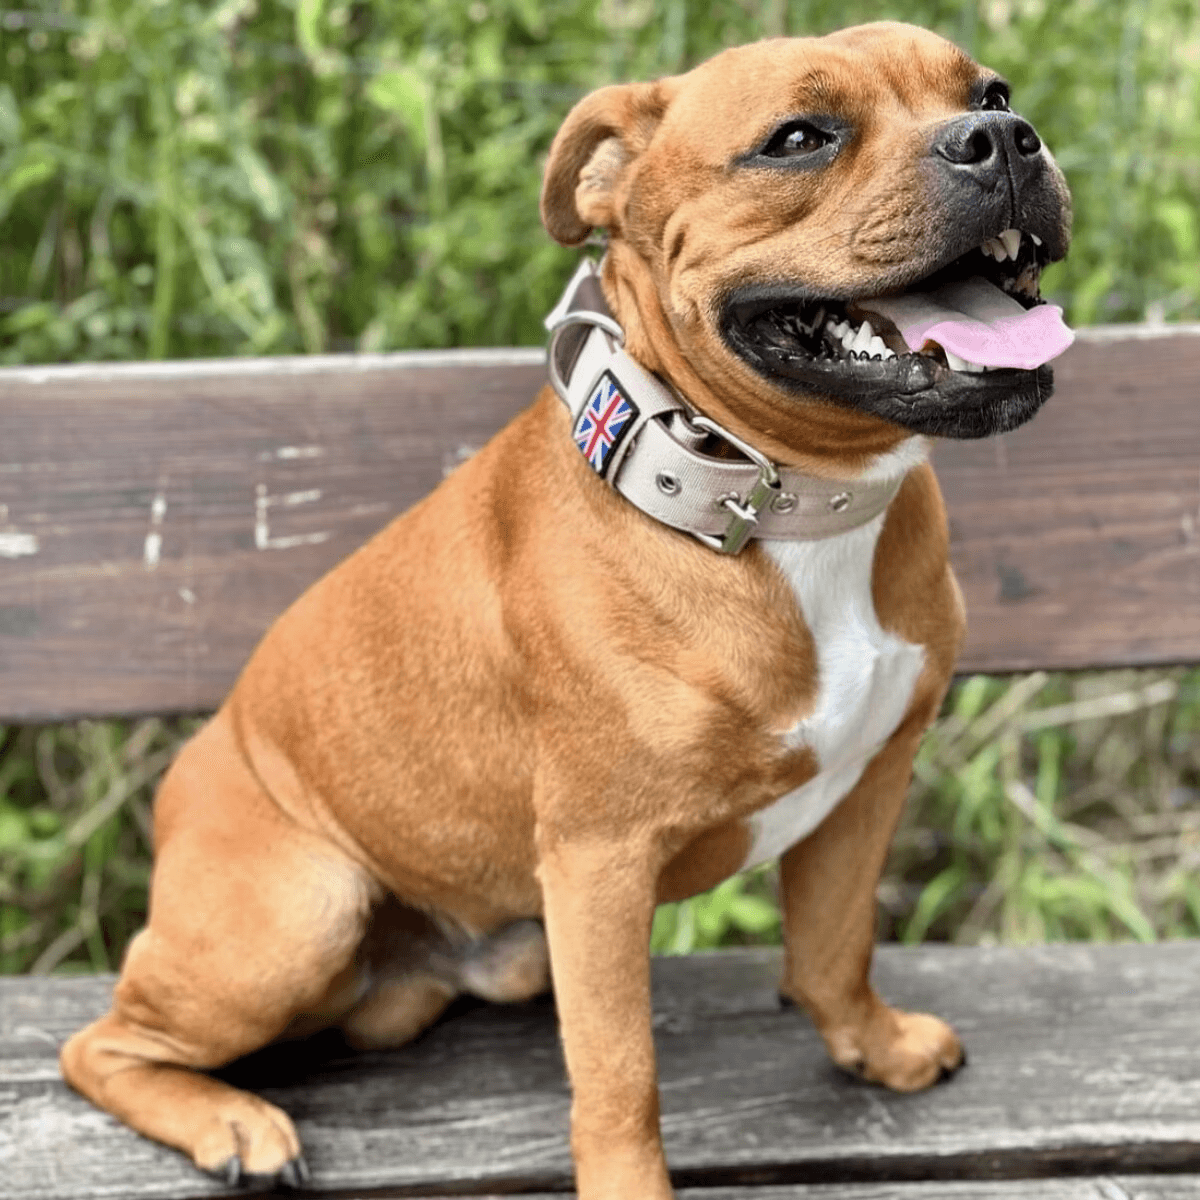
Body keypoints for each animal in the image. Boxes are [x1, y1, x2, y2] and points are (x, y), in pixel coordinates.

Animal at [58, 21, 1070, 1200]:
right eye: (798, 138)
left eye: (991, 91)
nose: (1003, 136)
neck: (773, 504)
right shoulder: (602, 861)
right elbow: (620, 1075)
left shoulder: (866, 785)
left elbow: (833, 947)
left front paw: (872, 1045)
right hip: (295, 915)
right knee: (100, 1043)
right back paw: (233, 1122)